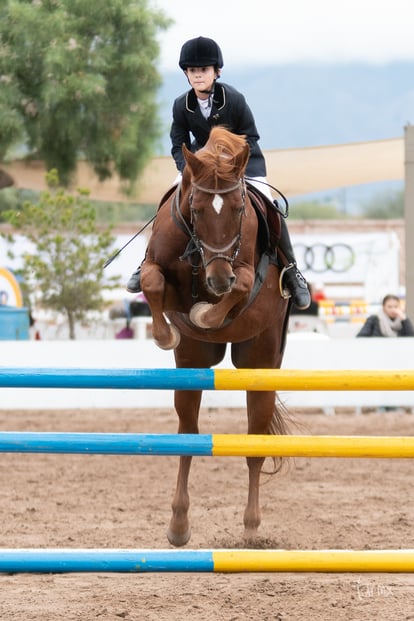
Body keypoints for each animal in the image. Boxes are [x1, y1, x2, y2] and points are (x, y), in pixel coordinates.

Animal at [141, 128, 290, 544]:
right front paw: (165, 335)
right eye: (196, 208)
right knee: (188, 435)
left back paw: (252, 528)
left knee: (254, 442)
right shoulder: (161, 272)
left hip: (261, 363)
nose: (217, 278)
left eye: (240, 210)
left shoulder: (244, 277)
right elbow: (152, 281)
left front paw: (205, 314)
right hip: (193, 365)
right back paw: (178, 525)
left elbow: (238, 287)